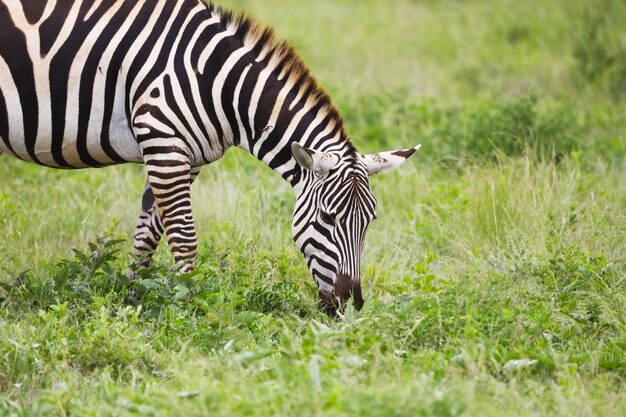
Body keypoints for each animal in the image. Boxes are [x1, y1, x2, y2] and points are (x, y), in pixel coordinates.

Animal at [2, 0, 420, 312]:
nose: (351, 305)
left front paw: (133, 295)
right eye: (328, 218)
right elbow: (184, 237)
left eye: (370, 221)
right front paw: (187, 306)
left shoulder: (186, 159)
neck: (218, 84)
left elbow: (148, 234)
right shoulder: (163, 142)